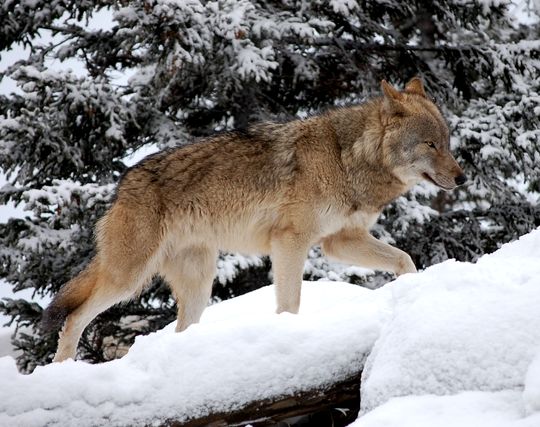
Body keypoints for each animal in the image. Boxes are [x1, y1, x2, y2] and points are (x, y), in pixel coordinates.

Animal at [42, 77, 464, 362]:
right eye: (430, 144)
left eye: (447, 142)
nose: (461, 178)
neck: (347, 158)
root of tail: (122, 185)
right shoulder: (290, 241)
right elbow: (290, 302)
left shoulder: (340, 241)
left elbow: (404, 260)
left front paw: (414, 293)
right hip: (128, 278)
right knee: (74, 317)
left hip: (198, 285)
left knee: (179, 328)